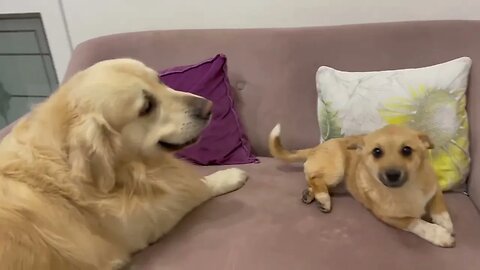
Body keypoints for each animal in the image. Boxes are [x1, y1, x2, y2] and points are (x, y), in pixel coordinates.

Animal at [0, 58, 248, 268]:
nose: (209, 106)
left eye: (159, 80)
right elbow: (197, 188)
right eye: (146, 107)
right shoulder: (147, 221)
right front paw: (228, 176)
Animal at [270, 124, 454, 247]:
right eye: (377, 152)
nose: (392, 175)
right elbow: (417, 223)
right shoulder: (390, 217)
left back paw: (310, 194)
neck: (406, 188)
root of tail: (316, 147)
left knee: (314, 180)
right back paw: (323, 198)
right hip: (337, 170)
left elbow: (440, 207)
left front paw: (445, 224)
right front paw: (440, 234)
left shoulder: (435, 189)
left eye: (407, 150)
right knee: (315, 178)